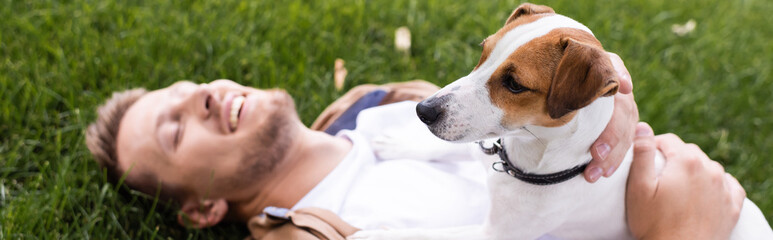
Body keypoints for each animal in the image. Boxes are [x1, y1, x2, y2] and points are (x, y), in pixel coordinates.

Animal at [352, 2, 772, 239]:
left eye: (514, 84)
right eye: (484, 53)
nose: (423, 111)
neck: (530, 159)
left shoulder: (496, 234)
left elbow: (423, 234)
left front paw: (372, 235)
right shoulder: (492, 144)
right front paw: (399, 143)